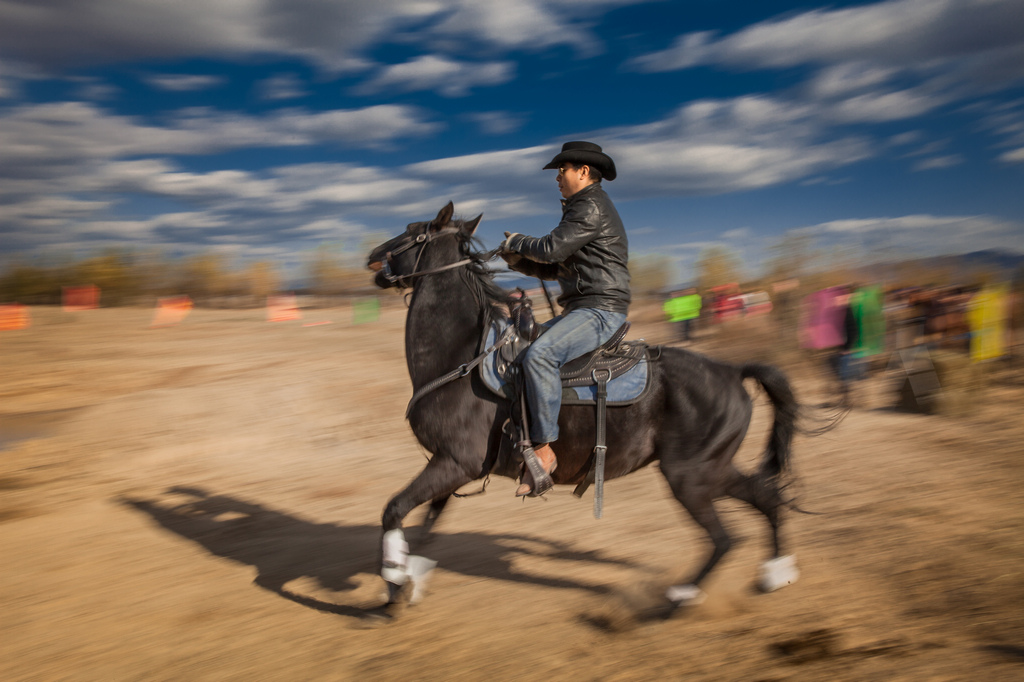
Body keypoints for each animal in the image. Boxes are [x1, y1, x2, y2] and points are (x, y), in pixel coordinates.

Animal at [364, 201, 802, 610]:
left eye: (413, 231)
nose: (373, 256)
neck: (462, 356)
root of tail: (731, 371)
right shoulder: (450, 465)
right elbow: (427, 527)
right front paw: (409, 581)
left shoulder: (455, 462)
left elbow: (393, 510)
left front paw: (392, 585)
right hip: (714, 470)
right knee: (767, 499)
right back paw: (775, 574)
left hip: (690, 477)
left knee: (724, 537)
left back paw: (678, 597)